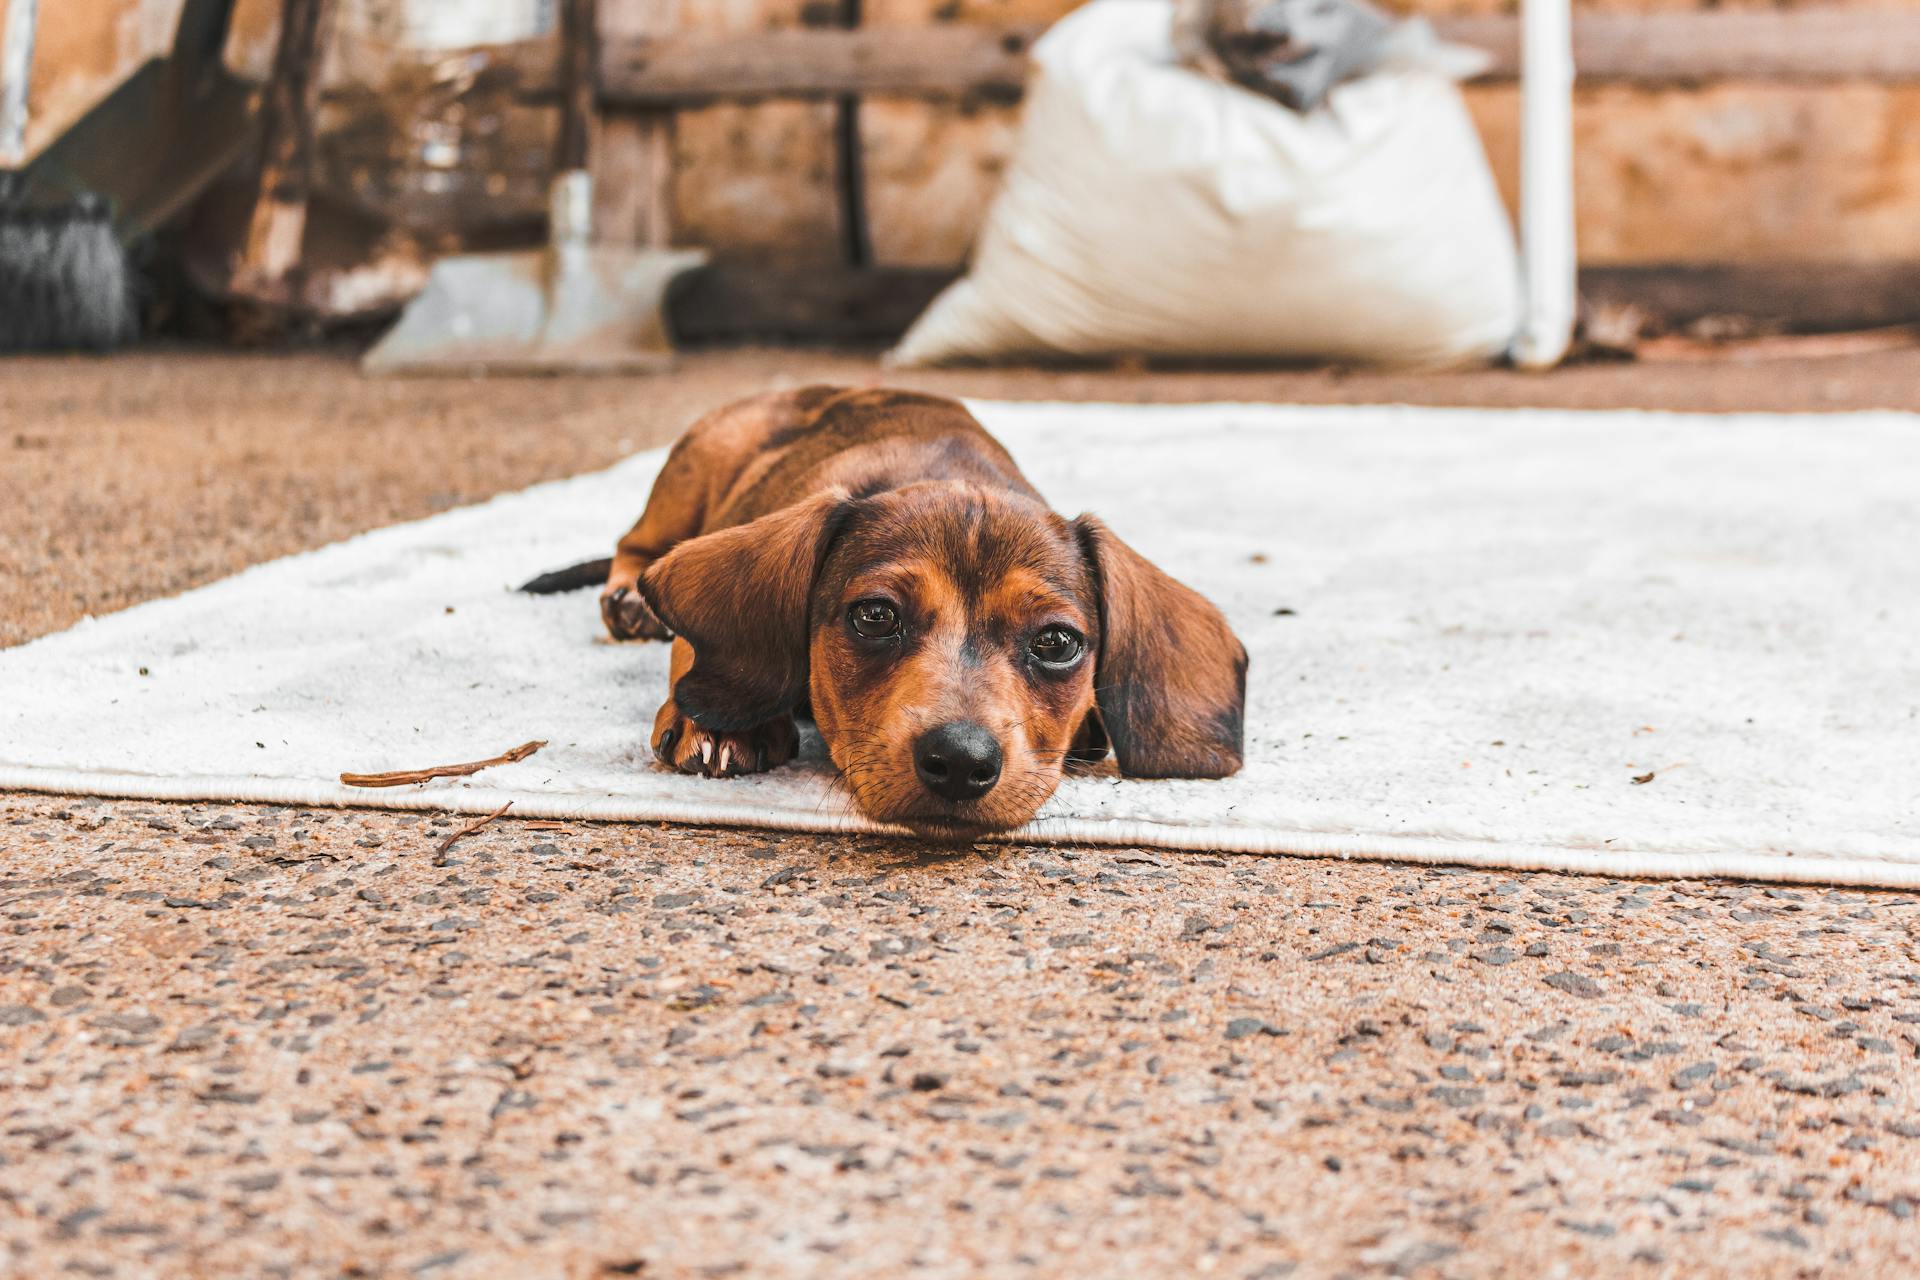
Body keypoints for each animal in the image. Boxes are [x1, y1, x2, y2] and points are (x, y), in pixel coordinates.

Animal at [526, 385, 1244, 836]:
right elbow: (693, 648)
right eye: (874, 617)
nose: (960, 762)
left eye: (1057, 643)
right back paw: (629, 600)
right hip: (695, 466)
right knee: (633, 544)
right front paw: (721, 724)